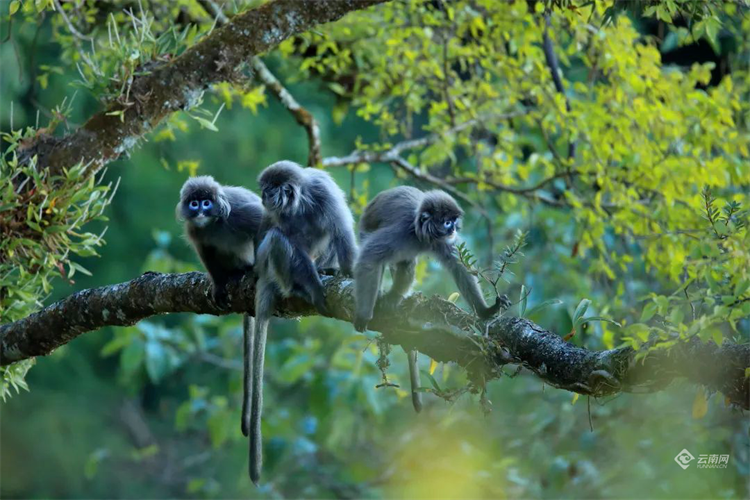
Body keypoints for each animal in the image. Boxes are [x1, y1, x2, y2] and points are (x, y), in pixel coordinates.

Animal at [178, 176, 266, 442]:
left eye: (207, 203)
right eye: (194, 203)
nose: (200, 210)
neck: (212, 224)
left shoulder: (240, 214)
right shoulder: (195, 231)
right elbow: (206, 252)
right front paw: (218, 285)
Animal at [251, 161, 360, 484]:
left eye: (268, 189)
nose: (263, 196)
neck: (299, 205)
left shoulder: (325, 196)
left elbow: (342, 233)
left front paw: (349, 273)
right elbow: (283, 237)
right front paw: (313, 287)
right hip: (270, 266)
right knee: (276, 240)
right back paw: (298, 288)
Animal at [354, 188, 508, 414]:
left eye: (454, 221)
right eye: (447, 222)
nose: (454, 228)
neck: (420, 236)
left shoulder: (441, 243)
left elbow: (459, 267)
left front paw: (485, 310)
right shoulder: (399, 232)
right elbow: (369, 257)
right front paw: (364, 314)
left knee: (406, 265)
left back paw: (395, 297)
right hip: (365, 229)